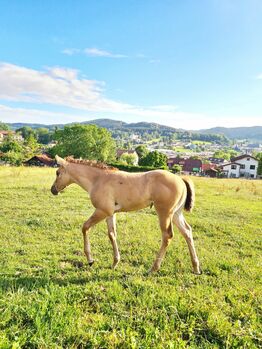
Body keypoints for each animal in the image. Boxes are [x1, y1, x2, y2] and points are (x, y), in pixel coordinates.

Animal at [51, 156, 202, 274]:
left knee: (167, 236)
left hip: (164, 213)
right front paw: (115, 262)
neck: (98, 179)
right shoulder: (110, 213)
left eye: (58, 173)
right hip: (176, 214)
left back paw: (153, 268)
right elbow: (112, 235)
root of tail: (181, 179)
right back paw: (196, 267)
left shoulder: (102, 211)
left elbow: (85, 227)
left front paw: (90, 260)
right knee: (187, 231)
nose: (53, 190)